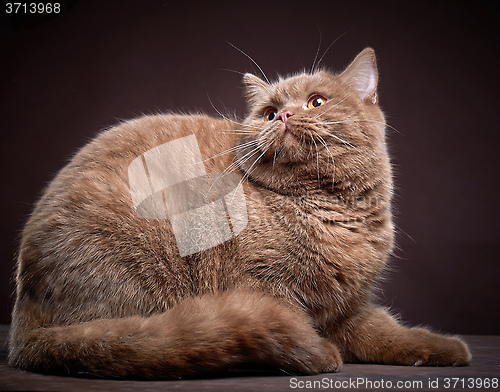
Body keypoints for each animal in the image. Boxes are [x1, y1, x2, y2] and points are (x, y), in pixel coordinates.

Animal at [7, 47, 470, 378]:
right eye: (268, 112)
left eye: (316, 102)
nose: (284, 115)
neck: (332, 211)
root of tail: (23, 325)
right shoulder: (263, 285)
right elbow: (287, 320)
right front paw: (321, 355)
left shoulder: (348, 307)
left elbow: (387, 332)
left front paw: (445, 349)